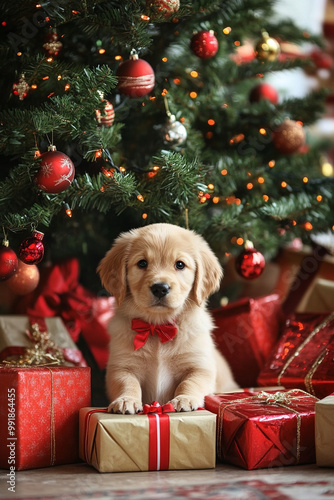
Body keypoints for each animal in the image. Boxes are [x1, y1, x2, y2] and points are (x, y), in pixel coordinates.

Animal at [97, 223, 237, 414]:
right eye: (142, 263)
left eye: (180, 264)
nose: (160, 288)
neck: (158, 327)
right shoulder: (121, 366)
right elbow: (127, 383)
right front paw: (126, 400)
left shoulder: (200, 366)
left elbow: (190, 382)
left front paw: (184, 398)